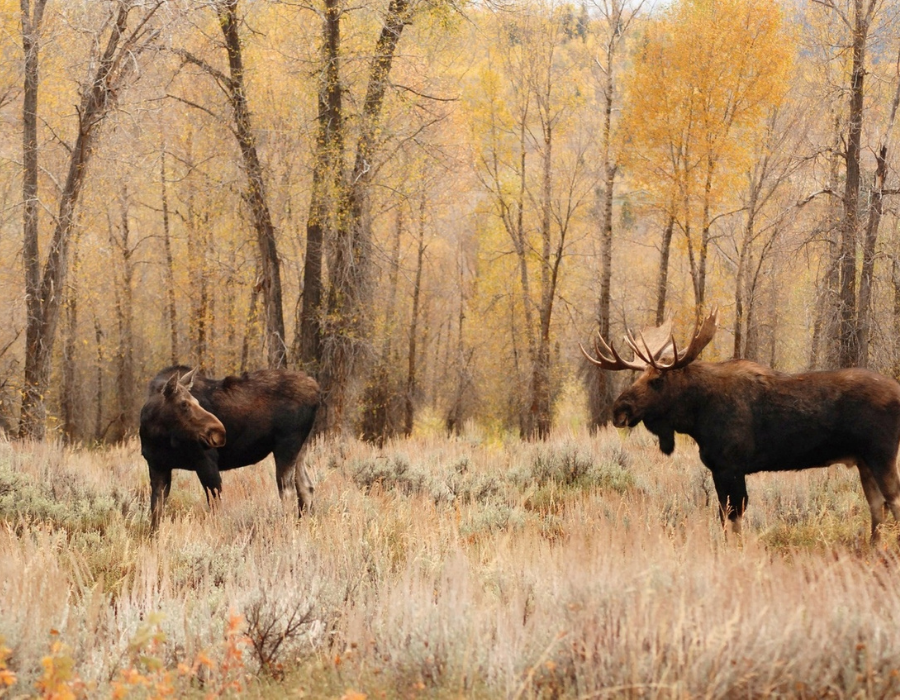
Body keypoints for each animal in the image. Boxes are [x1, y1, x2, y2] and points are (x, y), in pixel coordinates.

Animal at [139, 366, 322, 532]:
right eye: (184, 404)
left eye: (197, 402)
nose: (219, 432)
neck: (157, 437)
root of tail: (317, 391)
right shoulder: (157, 466)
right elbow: (156, 513)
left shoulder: (206, 461)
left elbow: (215, 507)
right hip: (300, 448)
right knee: (306, 487)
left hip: (287, 445)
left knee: (288, 492)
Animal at [584, 308, 900, 540]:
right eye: (639, 376)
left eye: (657, 379)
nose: (619, 410)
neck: (697, 417)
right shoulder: (718, 469)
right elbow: (725, 518)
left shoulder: (731, 466)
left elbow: (734, 519)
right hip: (864, 461)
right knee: (877, 507)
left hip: (881, 455)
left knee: (892, 501)